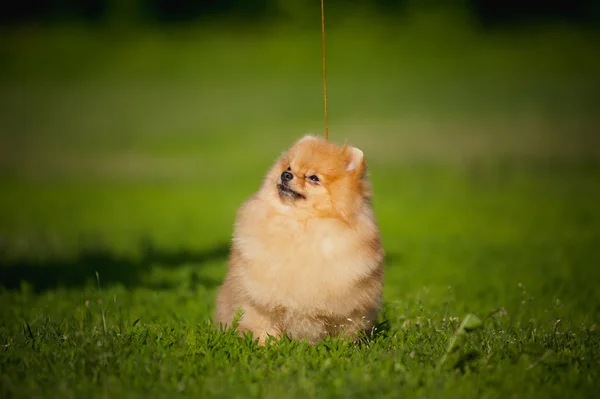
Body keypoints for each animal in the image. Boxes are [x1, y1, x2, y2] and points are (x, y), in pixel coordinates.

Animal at [216, 136, 384, 346]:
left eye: (313, 178)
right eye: (289, 167)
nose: (286, 175)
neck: (300, 224)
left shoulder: (348, 310)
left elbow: (344, 333)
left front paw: (342, 348)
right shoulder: (258, 301)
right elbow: (265, 329)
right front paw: (268, 347)